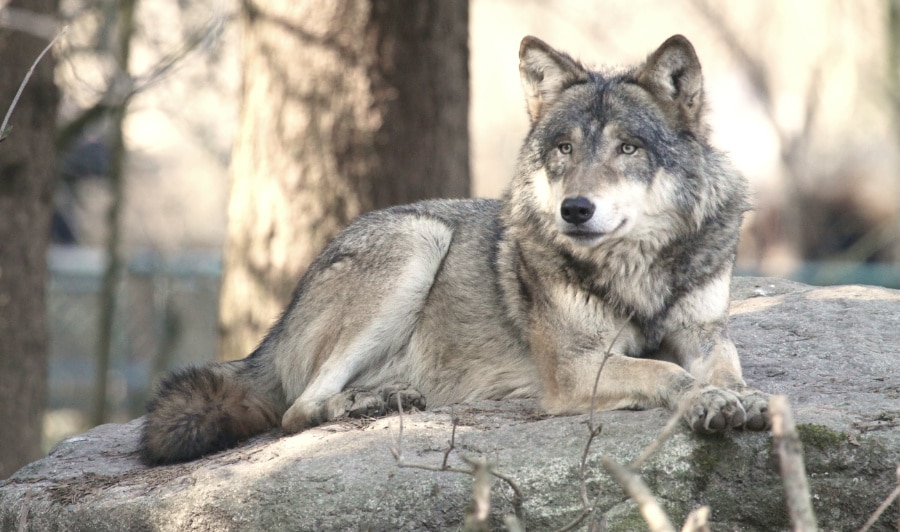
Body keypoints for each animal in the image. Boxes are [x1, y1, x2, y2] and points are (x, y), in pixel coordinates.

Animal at [140, 35, 771, 465]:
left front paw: (746, 398)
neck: (638, 268)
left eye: (628, 148)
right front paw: (706, 400)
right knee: (298, 408)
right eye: (564, 149)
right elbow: (665, 371)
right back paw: (365, 403)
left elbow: (724, 368)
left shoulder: (703, 332)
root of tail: (275, 328)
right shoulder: (575, 367)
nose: (574, 210)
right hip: (418, 241)